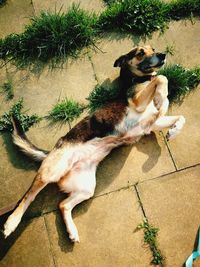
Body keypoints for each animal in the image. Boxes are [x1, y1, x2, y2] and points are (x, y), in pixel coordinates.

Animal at [2, 45, 185, 243]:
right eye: (140, 53)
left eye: (153, 48)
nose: (162, 55)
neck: (138, 79)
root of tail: (52, 151)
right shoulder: (139, 103)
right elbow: (162, 78)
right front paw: (161, 96)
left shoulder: (151, 123)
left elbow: (180, 116)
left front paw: (173, 129)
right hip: (52, 172)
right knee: (27, 197)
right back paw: (11, 223)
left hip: (86, 188)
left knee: (63, 205)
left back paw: (72, 232)